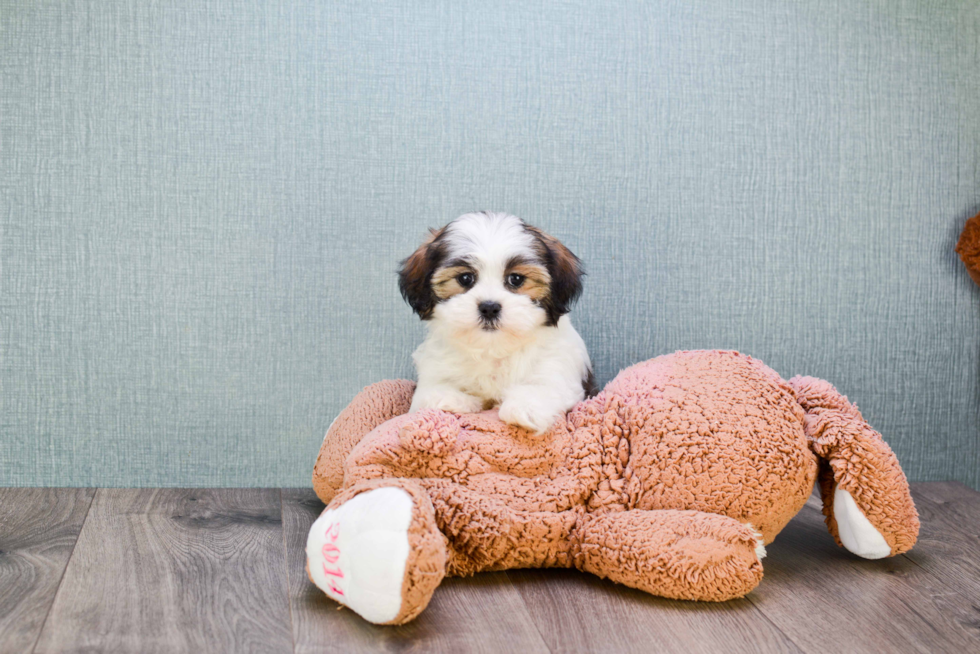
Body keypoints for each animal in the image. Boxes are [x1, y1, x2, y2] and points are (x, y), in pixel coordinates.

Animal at [398, 211, 596, 436]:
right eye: (465, 278)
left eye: (516, 279)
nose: (489, 307)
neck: (493, 348)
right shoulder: (432, 369)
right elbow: (430, 393)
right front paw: (454, 400)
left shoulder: (558, 367)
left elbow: (544, 387)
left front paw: (523, 408)